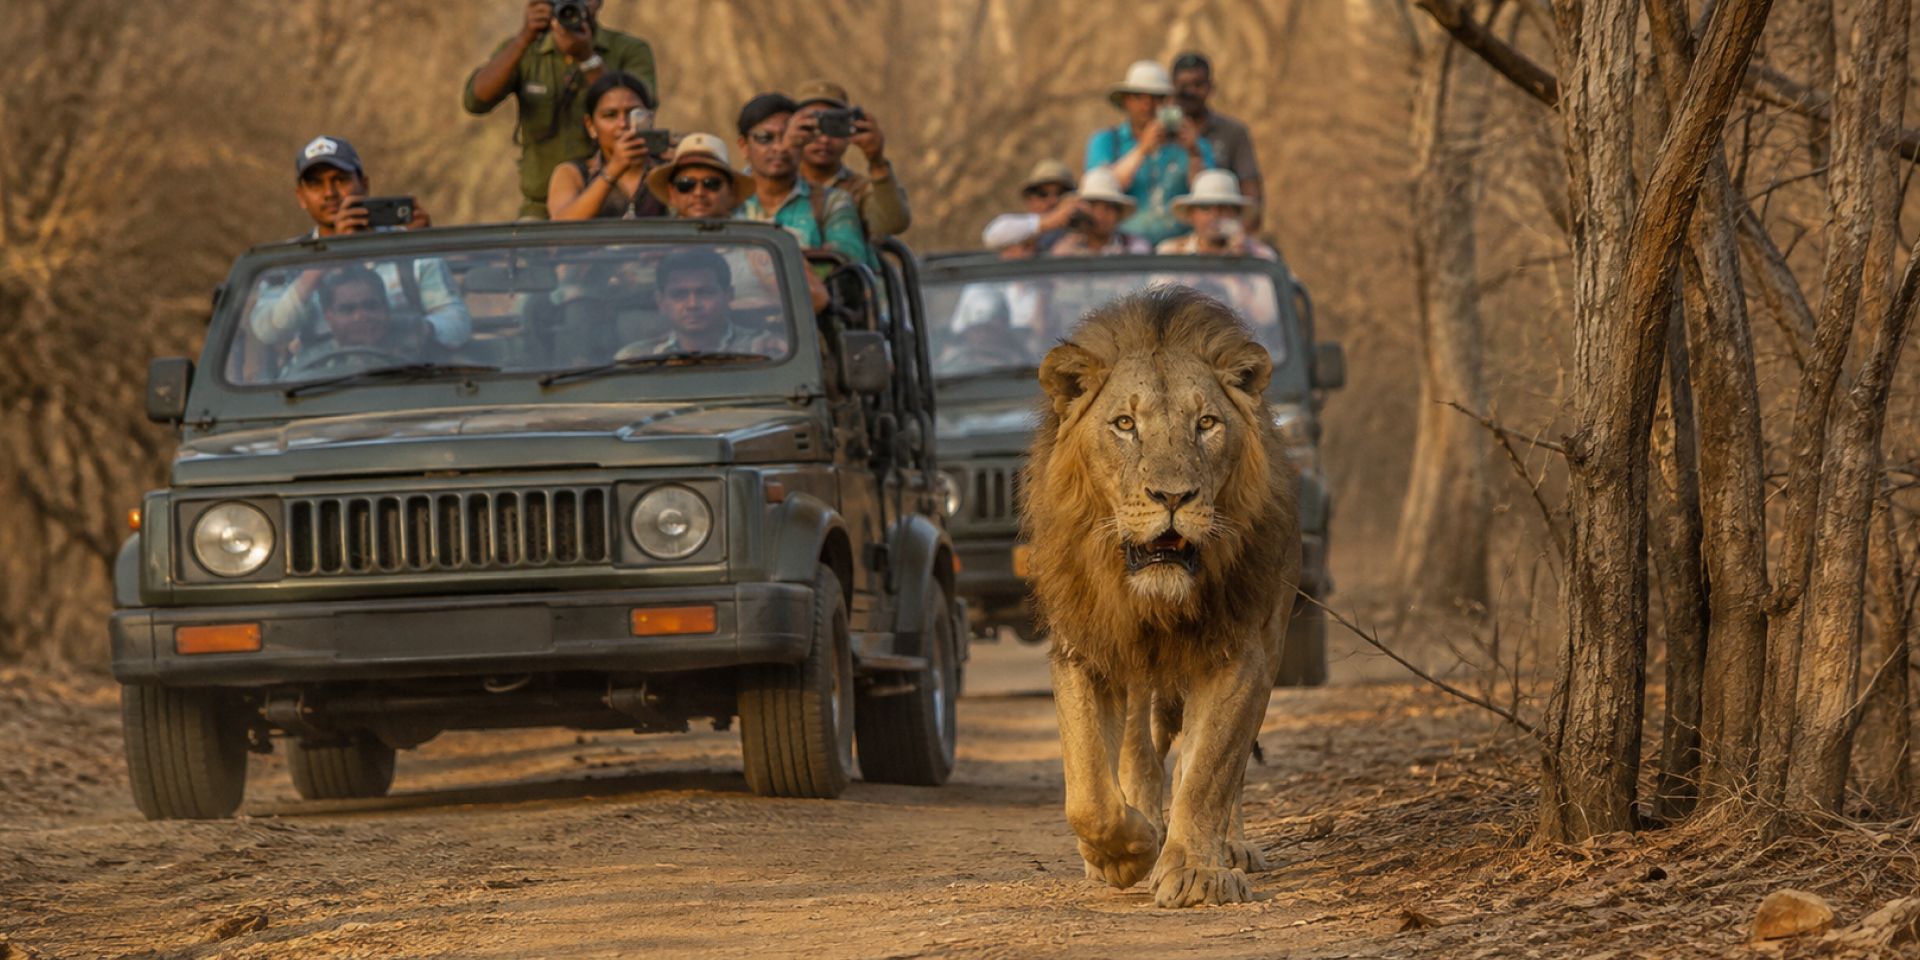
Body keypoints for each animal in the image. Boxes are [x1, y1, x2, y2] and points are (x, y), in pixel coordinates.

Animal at [1021, 286, 1300, 908]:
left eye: (1207, 423)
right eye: (1125, 423)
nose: (1173, 497)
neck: (1154, 600)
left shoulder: (1241, 649)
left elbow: (1209, 771)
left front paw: (1196, 870)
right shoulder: (1085, 645)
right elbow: (1089, 792)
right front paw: (1124, 853)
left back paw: (1229, 845)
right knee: (1137, 753)